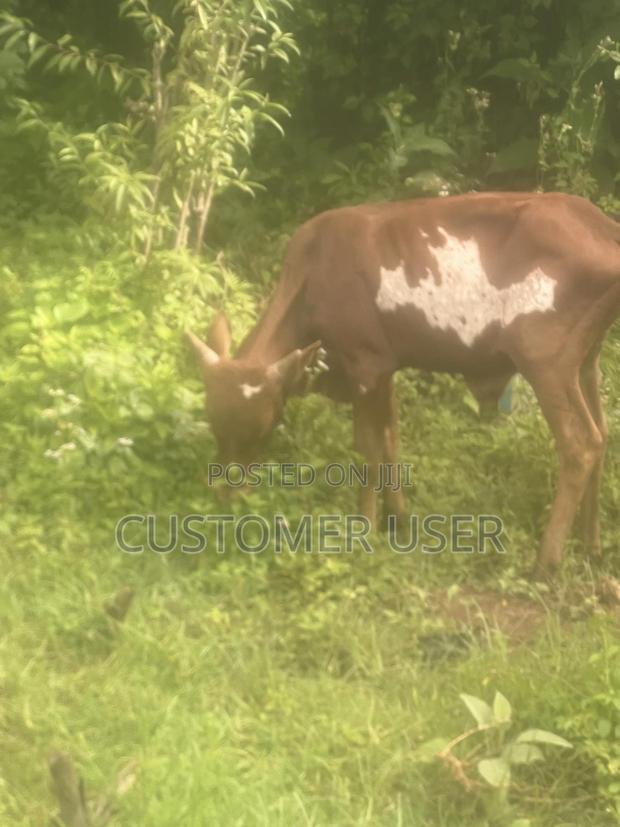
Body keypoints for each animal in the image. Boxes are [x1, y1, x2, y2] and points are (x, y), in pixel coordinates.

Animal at [187, 192, 620, 575]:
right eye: (215, 424)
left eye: (263, 427)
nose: (226, 493)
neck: (309, 277)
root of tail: (601, 226)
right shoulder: (384, 368)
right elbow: (391, 438)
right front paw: (398, 519)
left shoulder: (364, 363)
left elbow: (367, 448)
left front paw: (364, 529)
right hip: (587, 362)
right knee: (602, 435)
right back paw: (592, 546)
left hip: (545, 362)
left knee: (581, 444)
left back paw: (546, 563)